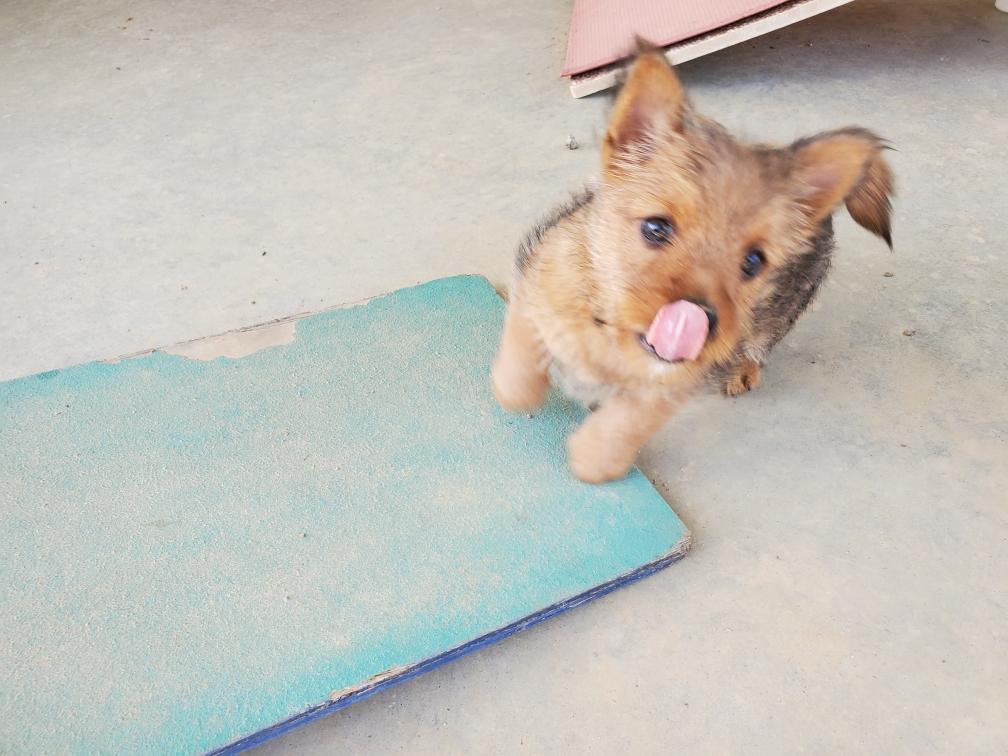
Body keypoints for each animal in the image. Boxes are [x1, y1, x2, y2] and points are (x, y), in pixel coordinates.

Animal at [490, 49, 894, 483]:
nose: (699, 320)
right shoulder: (537, 277)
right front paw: (514, 390)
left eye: (753, 261)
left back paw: (743, 370)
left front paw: (595, 459)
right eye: (655, 228)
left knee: (758, 343)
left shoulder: (673, 382)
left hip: (778, 314)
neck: (611, 332)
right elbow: (522, 356)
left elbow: (628, 421)